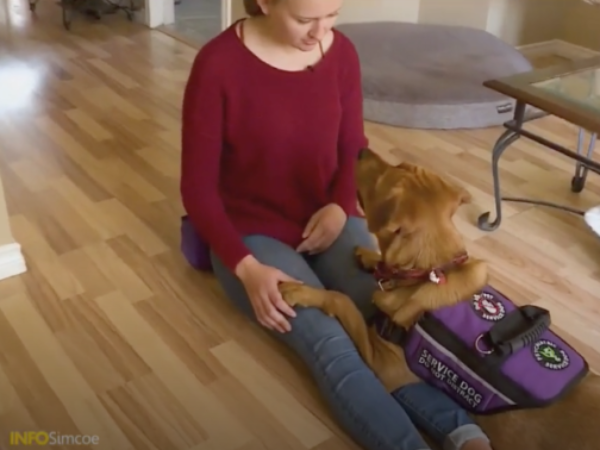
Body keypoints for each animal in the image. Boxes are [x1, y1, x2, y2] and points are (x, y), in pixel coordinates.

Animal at [278, 148, 600, 450]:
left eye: (388, 175)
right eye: (401, 165)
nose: (361, 150)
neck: (430, 270)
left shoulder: (386, 365)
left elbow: (342, 301)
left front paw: (301, 292)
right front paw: (370, 257)